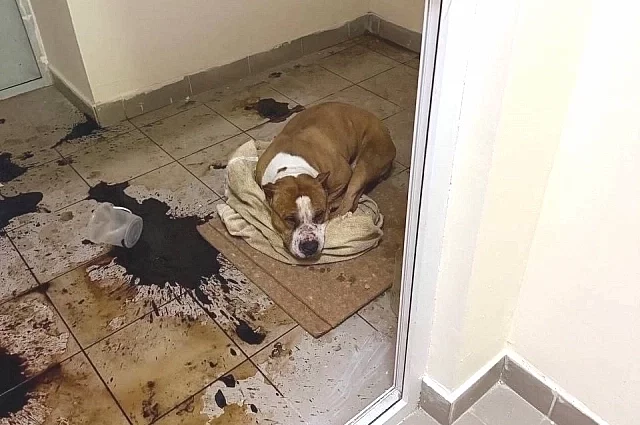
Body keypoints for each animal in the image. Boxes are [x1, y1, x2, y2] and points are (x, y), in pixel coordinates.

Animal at [255, 102, 396, 259]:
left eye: (319, 215)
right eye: (289, 219)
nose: (310, 247)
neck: (292, 167)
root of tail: (386, 129)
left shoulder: (344, 174)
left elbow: (333, 197)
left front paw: (331, 203)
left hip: (365, 164)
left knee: (348, 201)